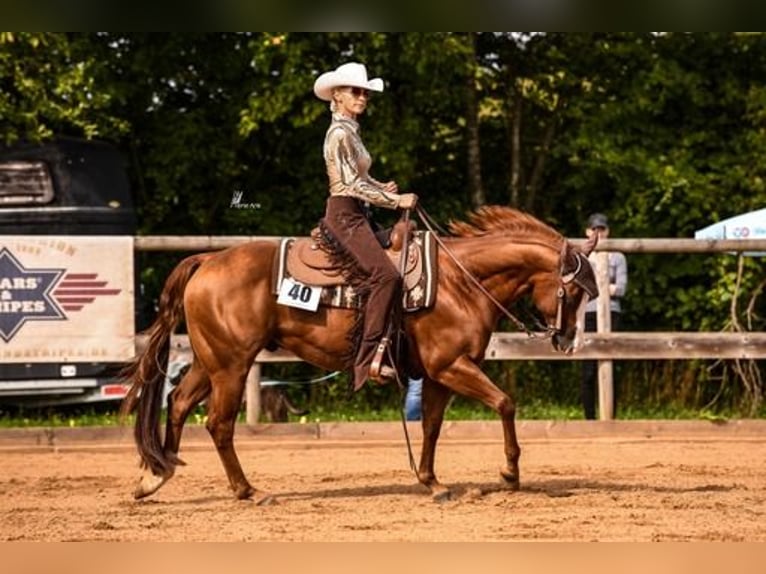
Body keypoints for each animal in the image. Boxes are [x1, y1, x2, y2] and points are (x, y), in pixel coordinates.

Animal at [121, 207, 600, 504]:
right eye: (575, 291)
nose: (566, 341)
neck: (459, 282)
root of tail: (207, 260)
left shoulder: (438, 375)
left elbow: (431, 426)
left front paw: (431, 482)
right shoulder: (452, 366)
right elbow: (505, 403)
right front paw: (510, 474)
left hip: (212, 362)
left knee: (178, 403)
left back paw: (154, 476)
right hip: (231, 366)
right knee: (219, 424)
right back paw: (248, 491)